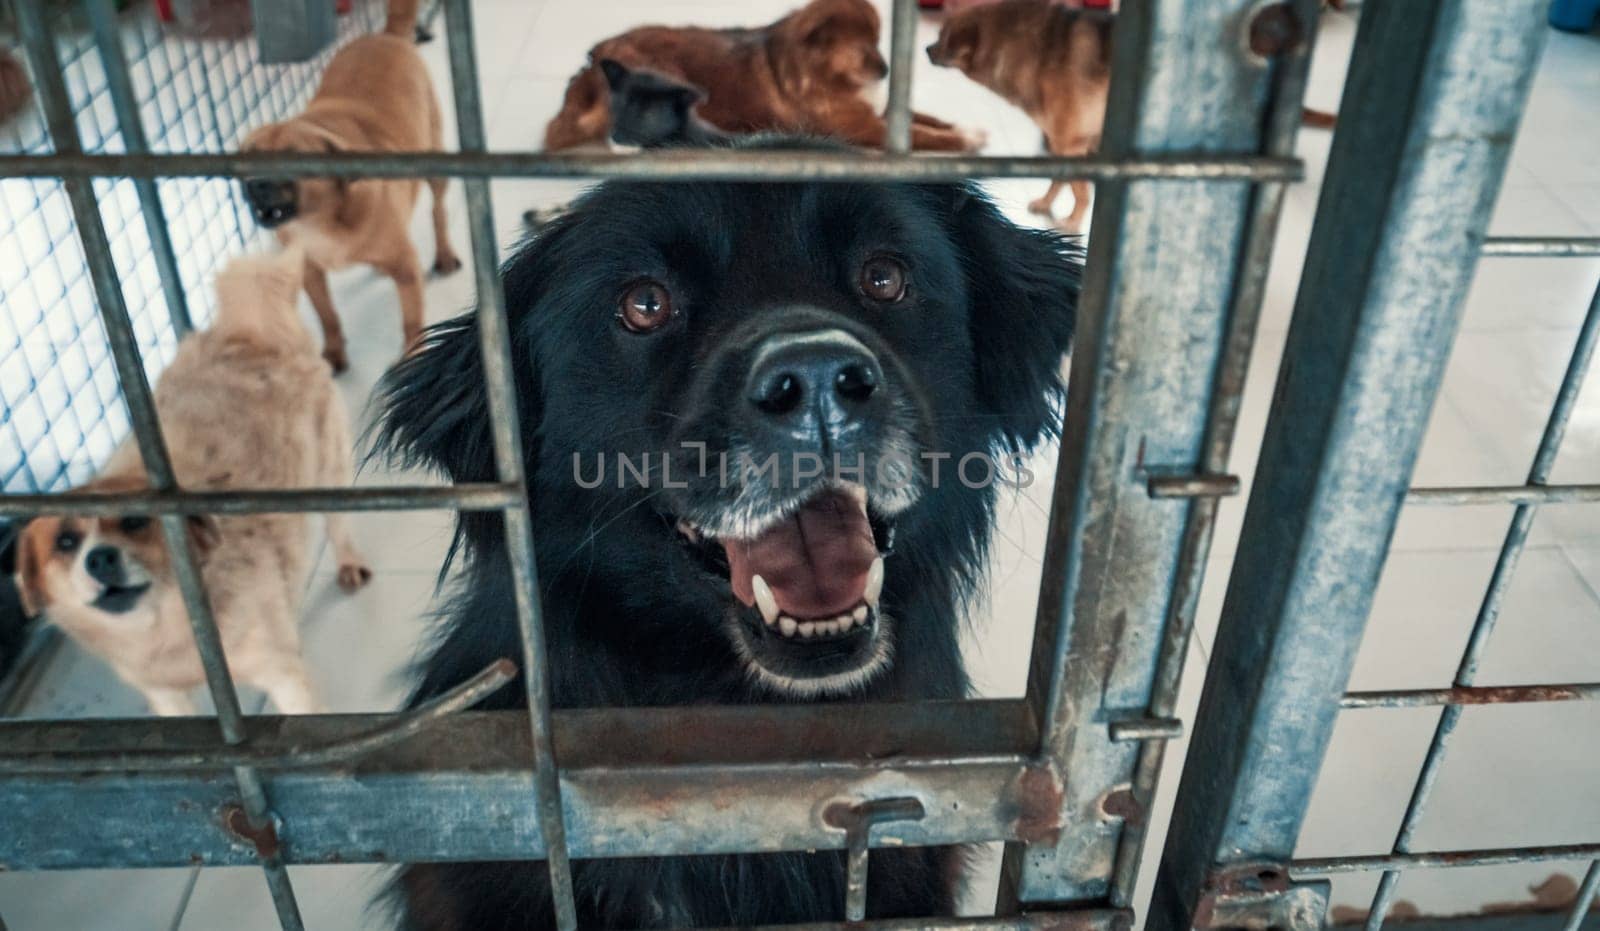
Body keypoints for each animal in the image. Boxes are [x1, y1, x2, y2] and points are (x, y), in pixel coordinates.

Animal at [240, 0, 460, 372]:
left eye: (294, 158)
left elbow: (411, 322)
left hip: (434, 162)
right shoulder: (310, 271)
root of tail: (387, 35)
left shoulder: (405, 269)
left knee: (438, 211)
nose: (255, 185)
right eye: (248, 156)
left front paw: (411, 357)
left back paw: (444, 253)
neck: (319, 222)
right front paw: (333, 353)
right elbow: (327, 315)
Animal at [544, 0, 979, 155]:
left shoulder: (880, 111)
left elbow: (923, 119)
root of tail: (598, 52)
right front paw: (966, 139)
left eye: (879, 41)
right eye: (862, 51)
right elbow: (923, 134)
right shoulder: (864, 127)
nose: (886, 71)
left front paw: (959, 126)